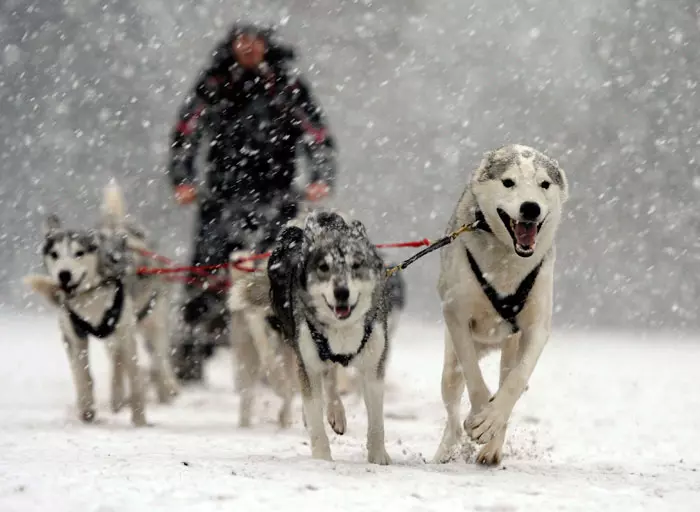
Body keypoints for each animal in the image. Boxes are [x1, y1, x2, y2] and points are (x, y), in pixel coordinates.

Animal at [26, 182, 180, 426]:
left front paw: (139, 420)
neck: (90, 294)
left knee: (157, 359)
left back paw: (164, 389)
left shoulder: (126, 332)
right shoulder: (74, 335)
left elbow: (136, 378)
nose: (64, 274)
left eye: (79, 253)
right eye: (55, 254)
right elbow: (83, 376)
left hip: (151, 324)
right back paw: (117, 399)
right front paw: (87, 410)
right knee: (117, 363)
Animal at [432, 144, 568, 464]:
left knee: (508, 379)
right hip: (450, 366)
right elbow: (473, 375)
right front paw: (481, 412)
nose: (530, 207)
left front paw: (491, 420)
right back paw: (447, 449)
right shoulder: (456, 315)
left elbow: (517, 380)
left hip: (510, 346)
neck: (506, 261)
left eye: (544, 184)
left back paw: (492, 448)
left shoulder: (537, 326)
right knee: (453, 402)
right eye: (508, 182)